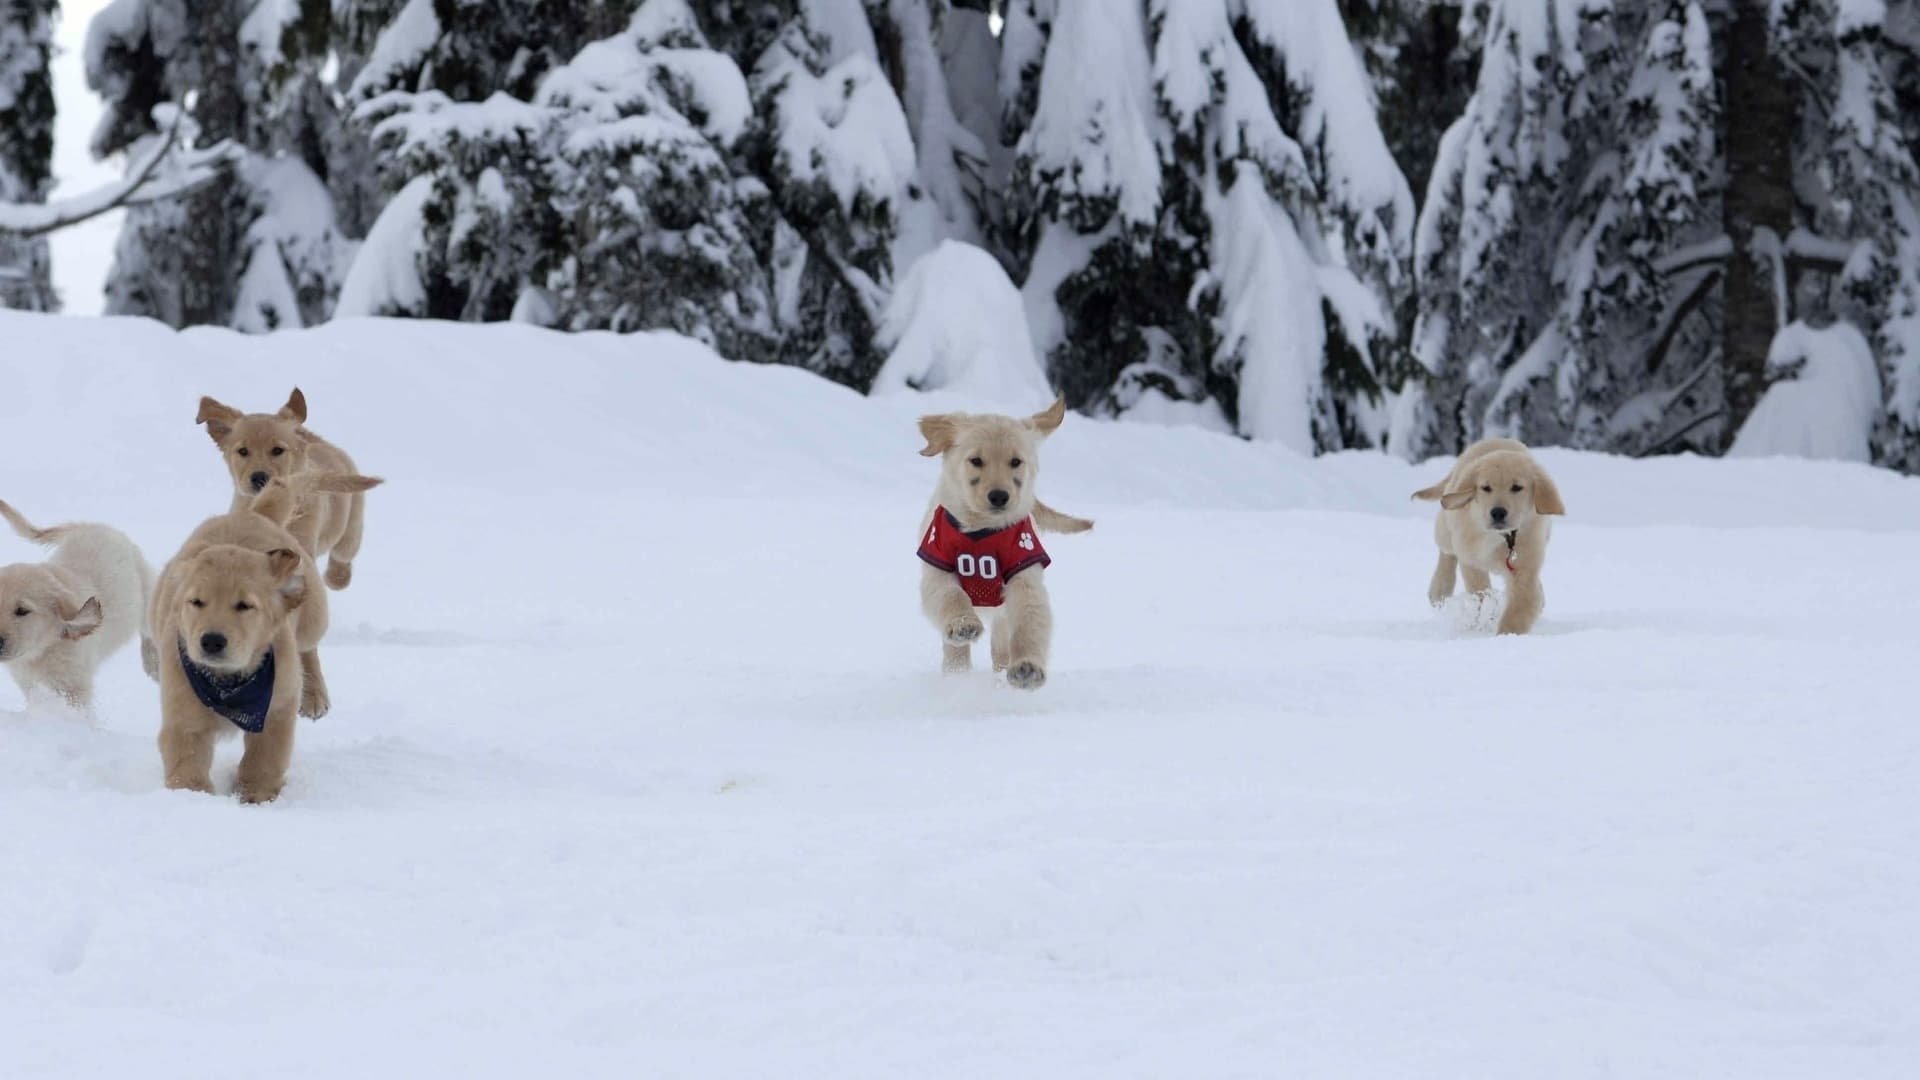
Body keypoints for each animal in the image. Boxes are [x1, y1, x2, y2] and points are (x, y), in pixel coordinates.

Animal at [0, 503, 153, 711]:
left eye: (22, 611)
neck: (43, 650)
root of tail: (88, 525)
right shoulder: (30, 683)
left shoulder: (73, 686)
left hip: (145, 587)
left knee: (150, 627)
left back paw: (152, 660)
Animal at [151, 472, 380, 799]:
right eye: (196, 602)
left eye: (245, 606)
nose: (211, 641)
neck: (228, 684)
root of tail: (256, 514)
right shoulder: (183, 713)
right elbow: (187, 763)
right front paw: (193, 797)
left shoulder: (277, 709)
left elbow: (264, 759)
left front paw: (256, 797)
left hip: (313, 618)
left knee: (308, 649)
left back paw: (314, 695)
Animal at [196, 386, 368, 588]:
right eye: (243, 451)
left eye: (277, 450)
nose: (259, 477)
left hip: (351, 528)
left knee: (343, 555)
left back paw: (337, 577)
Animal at [917, 397, 1098, 687]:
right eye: (976, 460)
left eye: (1015, 461)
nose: (999, 496)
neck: (981, 527)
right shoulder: (936, 567)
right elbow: (951, 597)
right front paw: (963, 624)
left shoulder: (1025, 573)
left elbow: (1028, 622)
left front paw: (1027, 667)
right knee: (954, 649)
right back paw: (956, 672)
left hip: (1001, 617)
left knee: (1001, 646)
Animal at [1413, 434, 1559, 630]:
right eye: (1486, 487)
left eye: (1516, 487)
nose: (1498, 512)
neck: (1501, 537)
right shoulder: (1469, 555)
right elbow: (1479, 588)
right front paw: (1486, 612)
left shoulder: (1526, 565)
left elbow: (1521, 605)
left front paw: (1507, 632)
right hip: (1447, 521)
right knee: (1446, 552)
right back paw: (1440, 589)